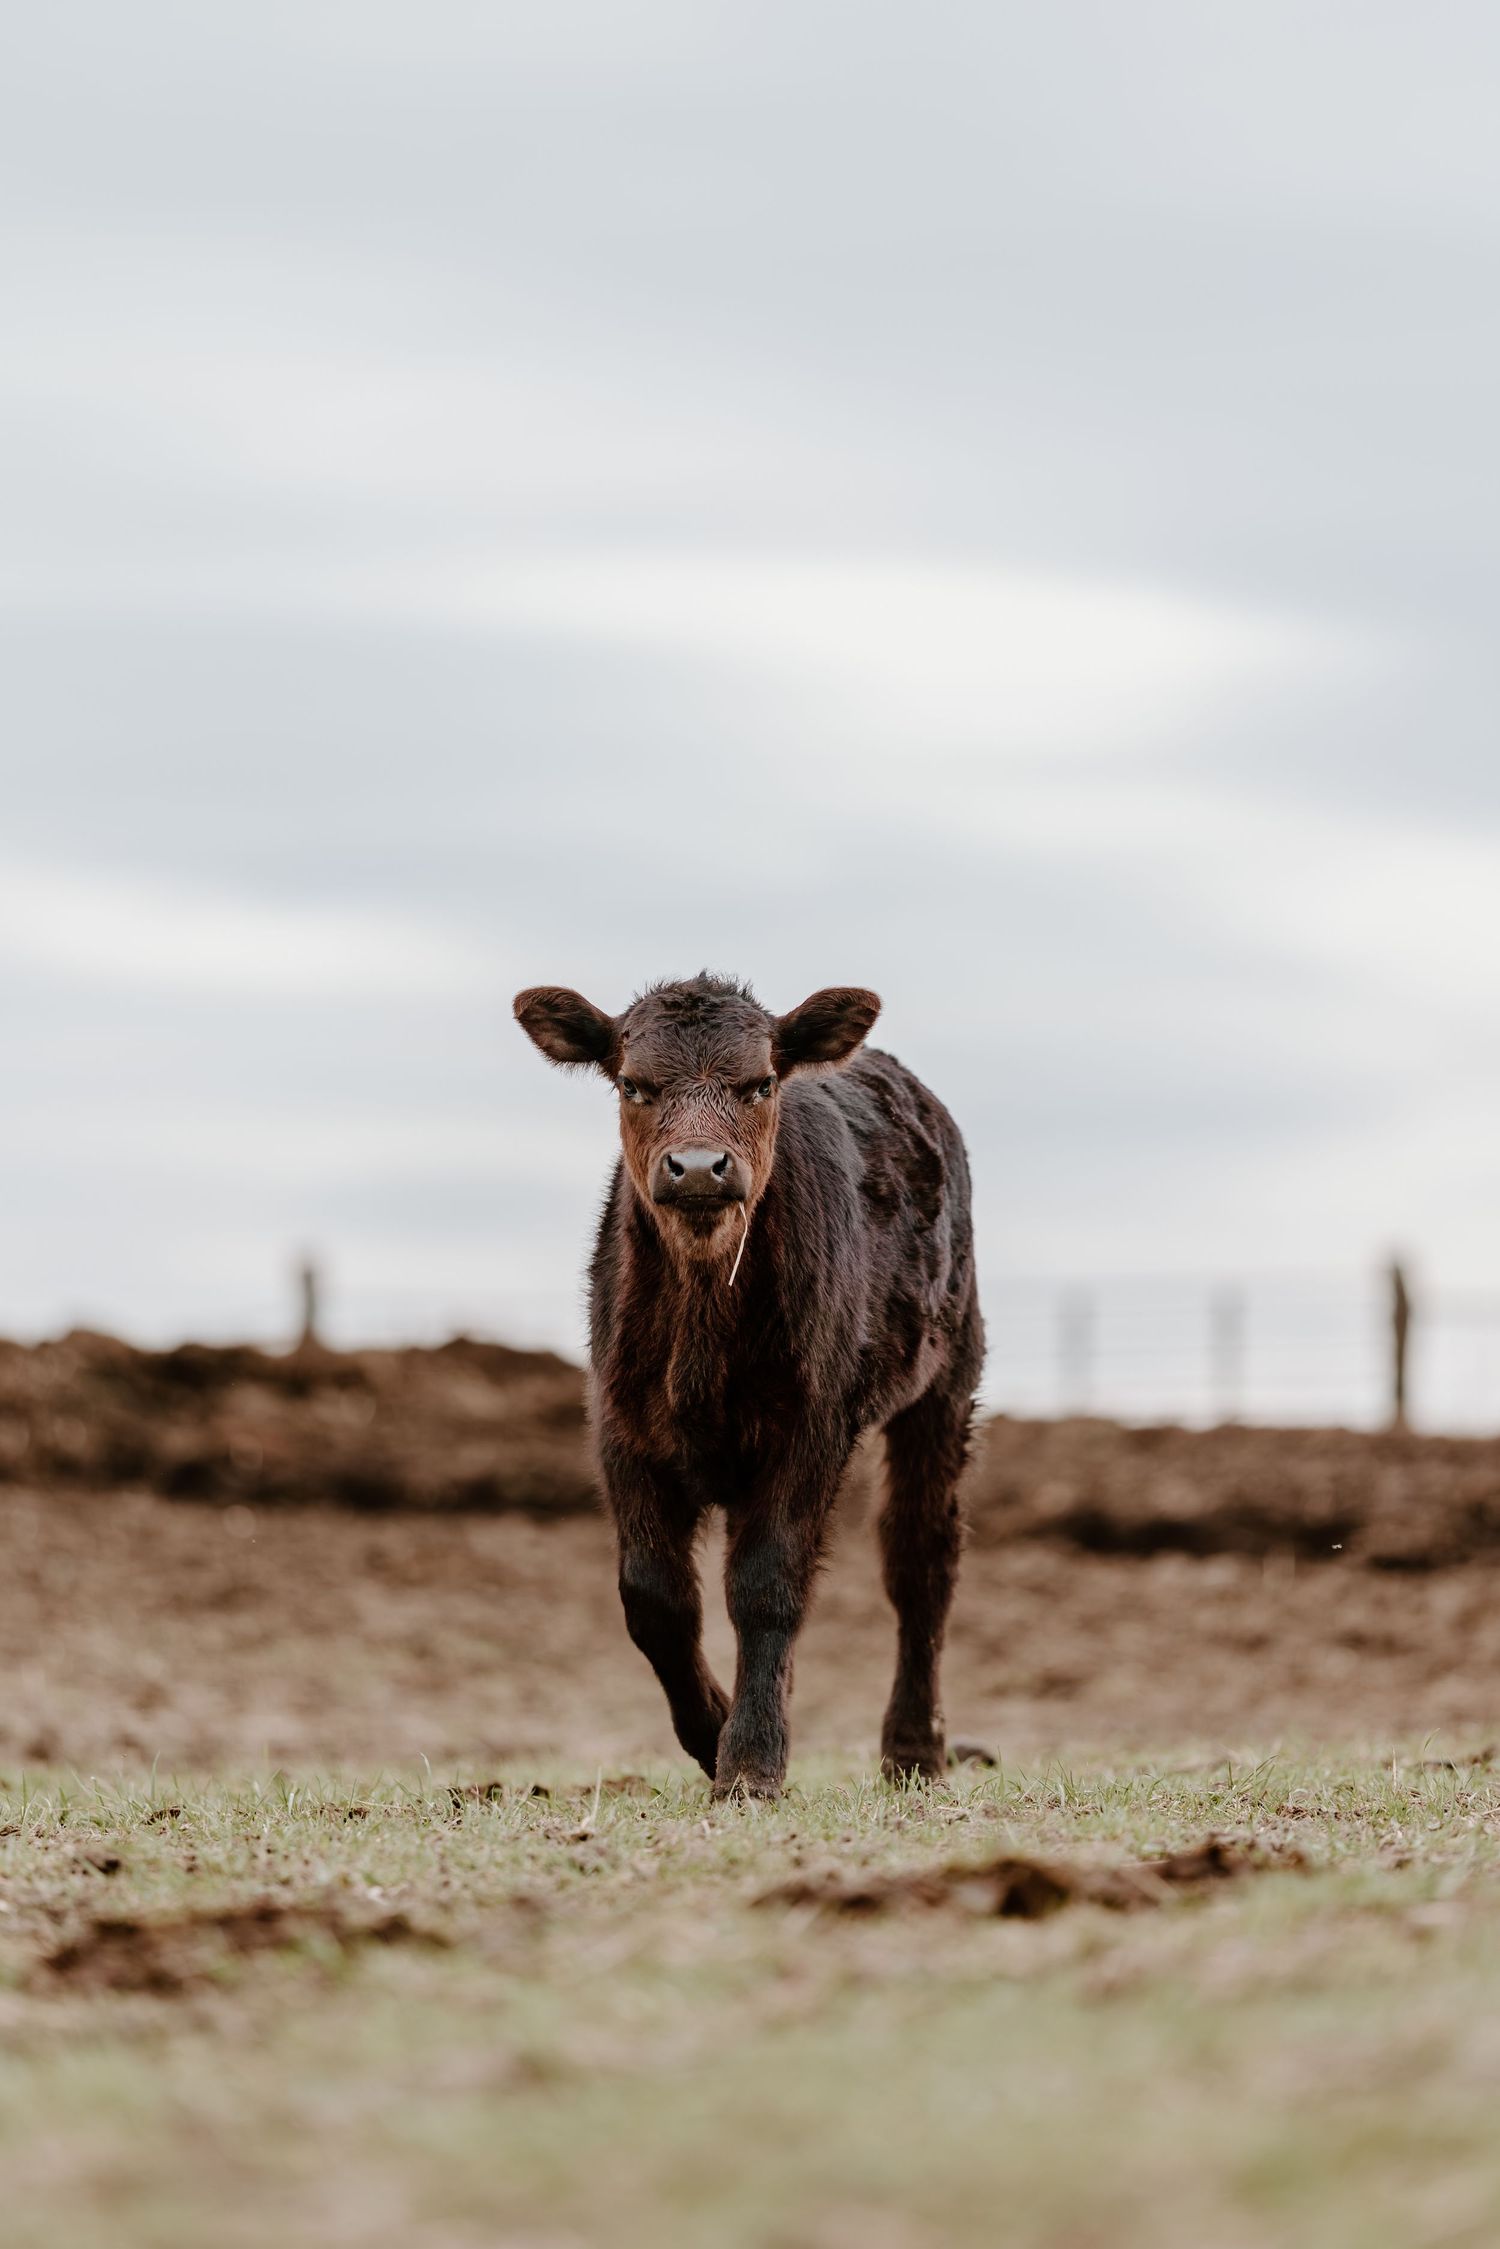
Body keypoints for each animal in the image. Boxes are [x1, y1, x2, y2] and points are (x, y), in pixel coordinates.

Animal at [513, 972, 983, 1798]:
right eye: (633, 1084)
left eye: (760, 1083)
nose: (700, 1167)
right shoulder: (621, 1427)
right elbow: (655, 1598)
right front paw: (714, 1731)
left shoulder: (811, 1426)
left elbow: (767, 1585)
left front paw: (752, 1761)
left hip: (948, 1377)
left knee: (921, 1558)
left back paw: (914, 1750)